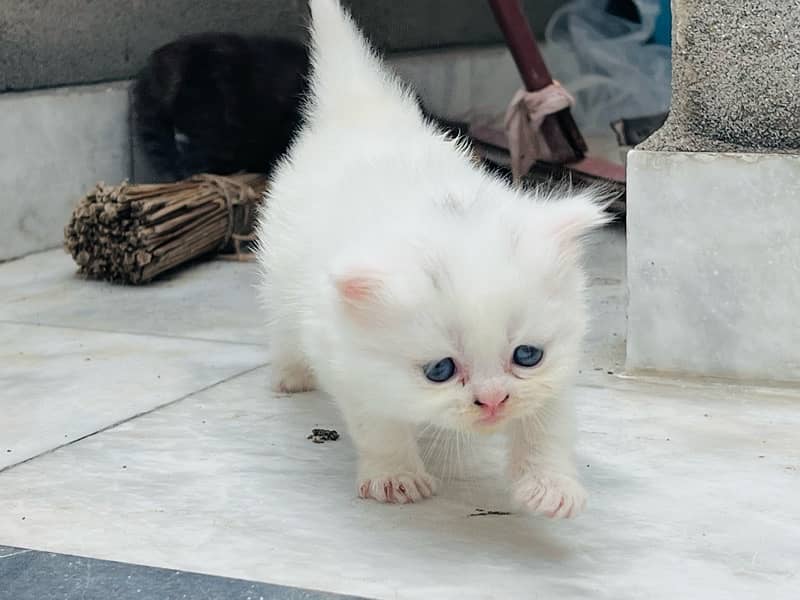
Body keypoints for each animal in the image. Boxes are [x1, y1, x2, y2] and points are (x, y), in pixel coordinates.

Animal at [260, 0, 608, 516]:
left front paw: (550, 485)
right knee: (281, 323)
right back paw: (290, 374)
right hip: (280, 277)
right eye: (439, 371)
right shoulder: (345, 357)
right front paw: (395, 477)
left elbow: (548, 421)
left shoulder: (560, 363)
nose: (494, 401)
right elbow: (378, 423)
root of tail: (364, 112)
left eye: (527, 355)